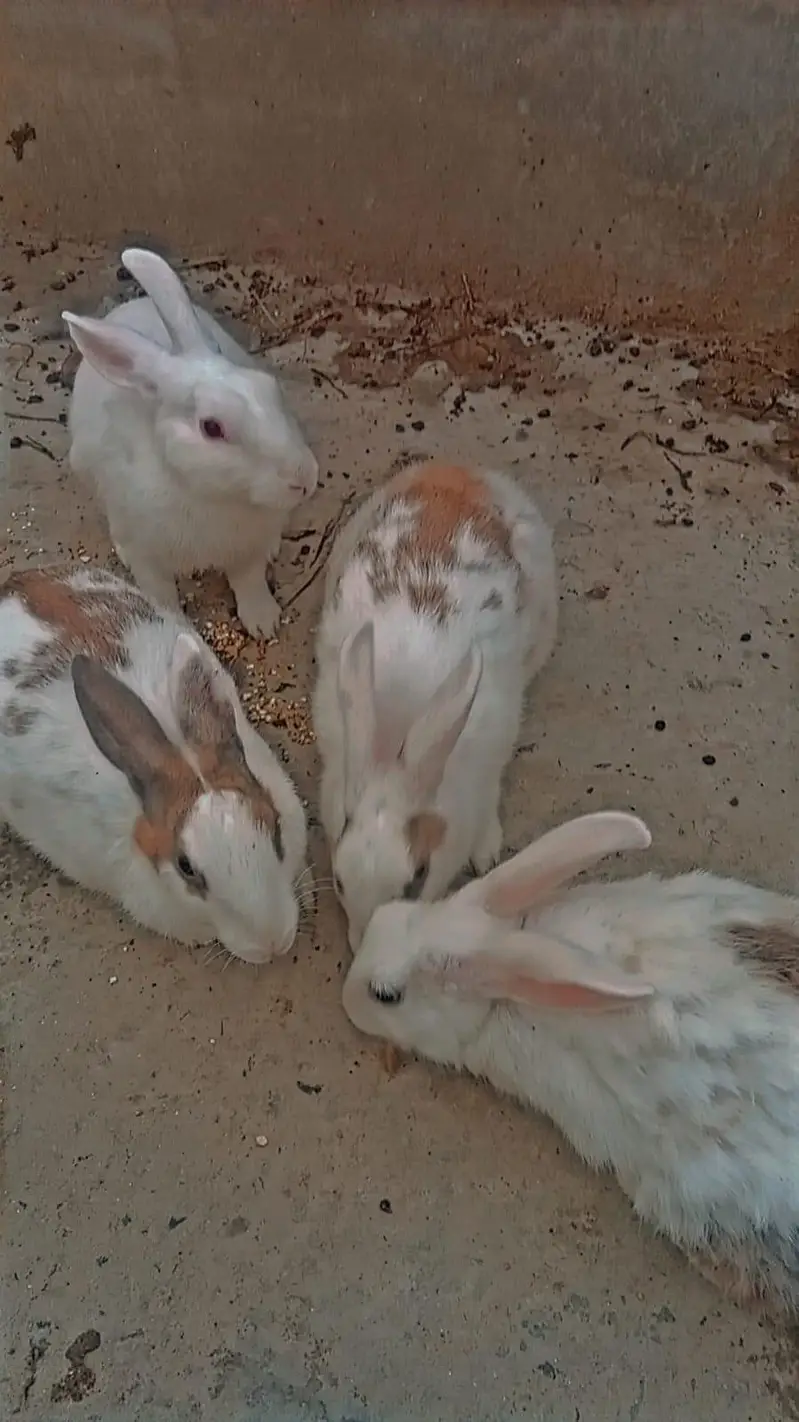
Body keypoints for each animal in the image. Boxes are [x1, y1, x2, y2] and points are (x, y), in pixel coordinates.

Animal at [62, 247, 320, 639]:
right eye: (212, 428)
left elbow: (248, 581)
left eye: (268, 387)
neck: (211, 494)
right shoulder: (149, 558)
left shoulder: (247, 550)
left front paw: (264, 622)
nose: (304, 478)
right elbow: (162, 596)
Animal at [313, 457, 557, 951]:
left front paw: (486, 851)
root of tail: (459, 472)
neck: (397, 740)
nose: (365, 941)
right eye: (340, 881)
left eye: (418, 879)